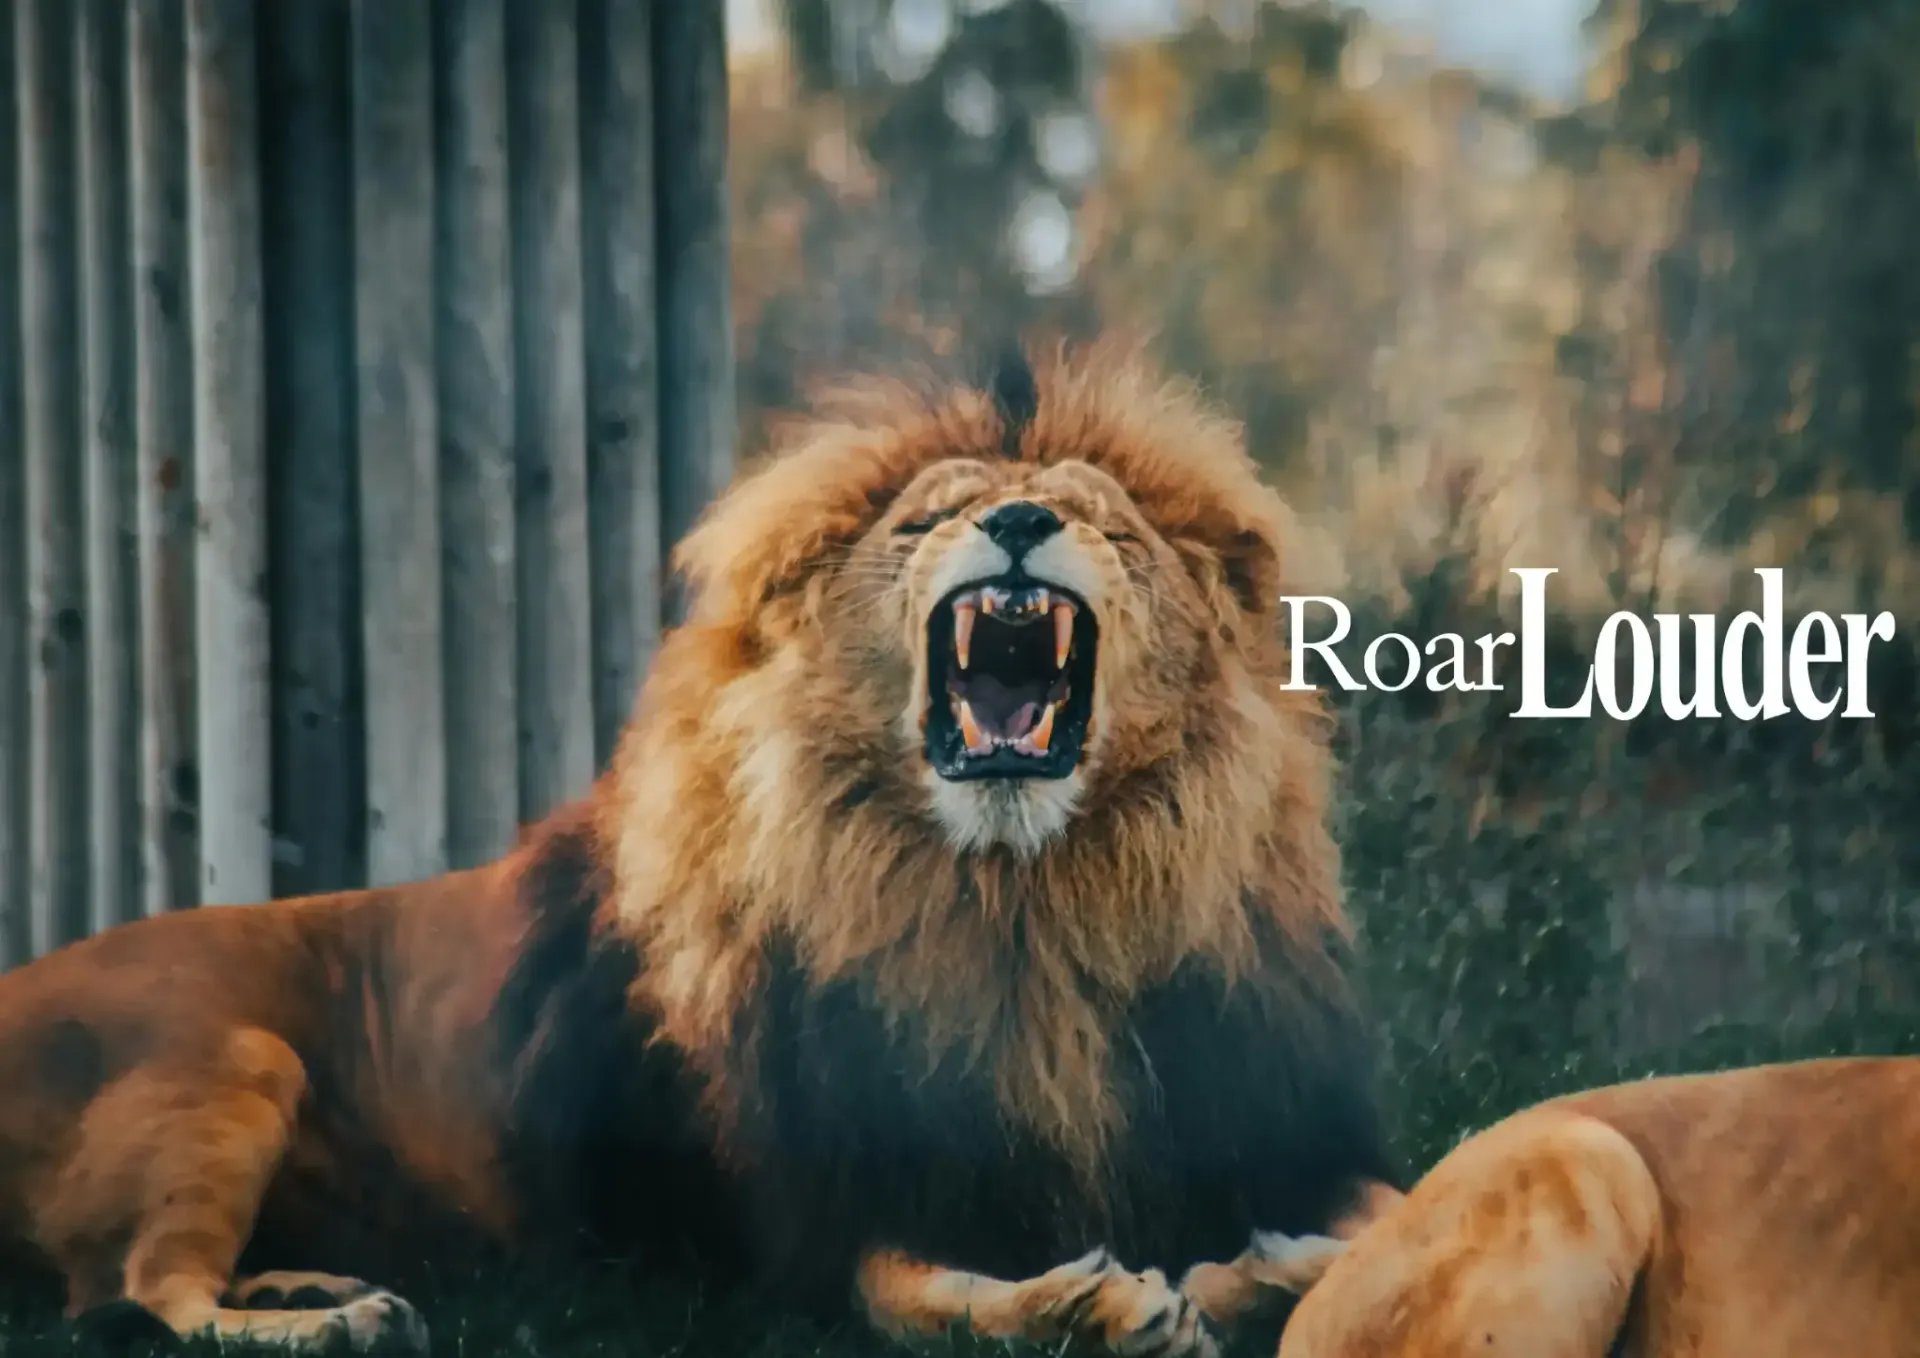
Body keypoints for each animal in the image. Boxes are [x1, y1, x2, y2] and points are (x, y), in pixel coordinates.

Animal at [0, 339, 1404, 1356]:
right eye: (923, 524)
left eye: (1104, 526)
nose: (1014, 521)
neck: (1020, 908)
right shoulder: (802, 1218)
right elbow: (915, 1295)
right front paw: (1107, 1303)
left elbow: (1399, 1210)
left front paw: (1277, 1266)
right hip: (239, 1060)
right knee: (142, 1296)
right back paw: (332, 1321)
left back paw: (320, 1283)